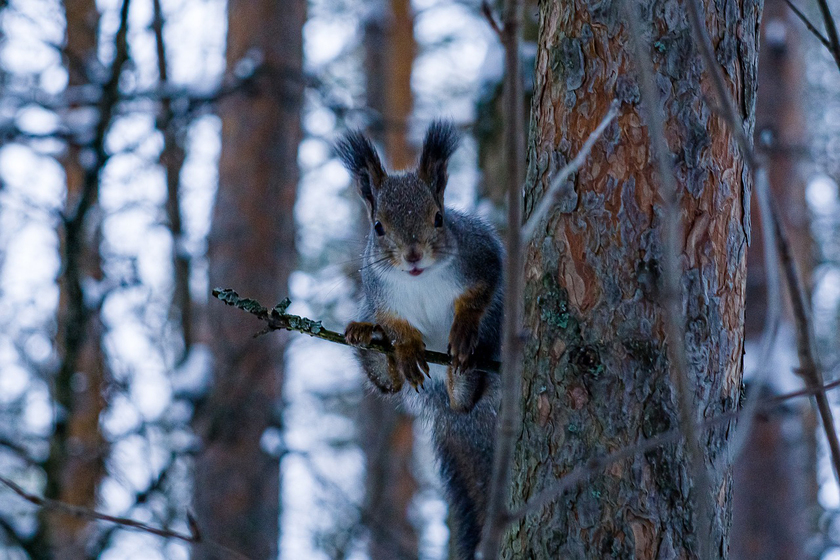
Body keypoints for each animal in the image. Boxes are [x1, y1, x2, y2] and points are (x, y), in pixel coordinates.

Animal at [336, 120, 506, 556]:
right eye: (378, 227)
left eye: (440, 218)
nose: (413, 255)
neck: (420, 280)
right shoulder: (380, 297)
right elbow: (396, 326)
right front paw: (407, 346)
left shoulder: (483, 256)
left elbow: (479, 295)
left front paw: (463, 329)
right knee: (389, 384)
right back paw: (369, 343)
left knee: (467, 400)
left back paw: (464, 376)